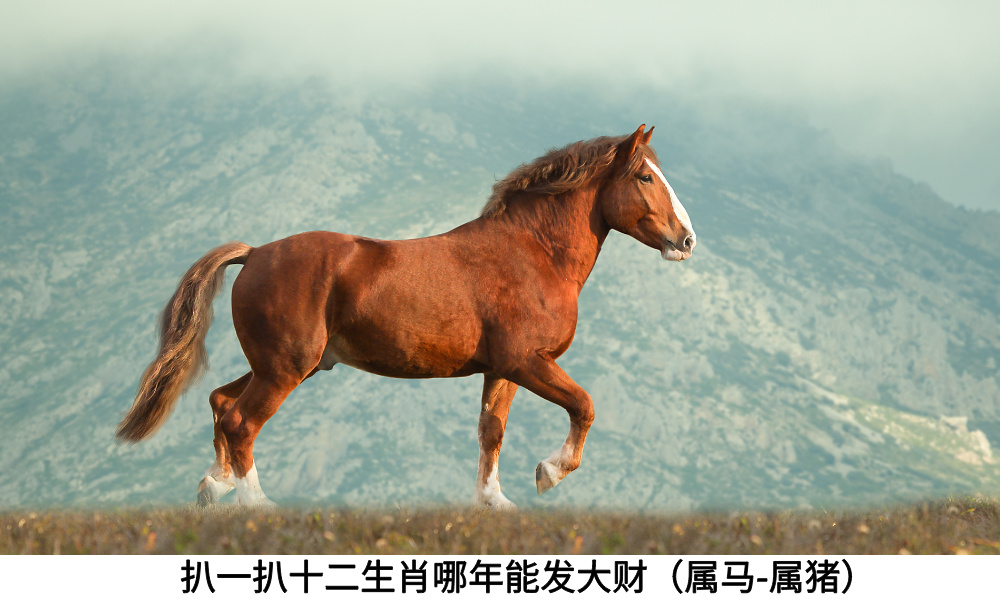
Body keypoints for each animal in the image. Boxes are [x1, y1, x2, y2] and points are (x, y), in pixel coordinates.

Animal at [115, 124, 696, 509]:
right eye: (645, 176)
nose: (686, 240)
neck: (532, 253)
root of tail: (255, 253)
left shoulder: (501, 369)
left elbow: (490, 431)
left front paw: (494, 503)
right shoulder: (526, 361)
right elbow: (584, 406)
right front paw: (549, 473)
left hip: (287, 365)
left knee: (220, 402)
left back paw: (214, 486)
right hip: (285, 369)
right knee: (241, 422)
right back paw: (257, 506)